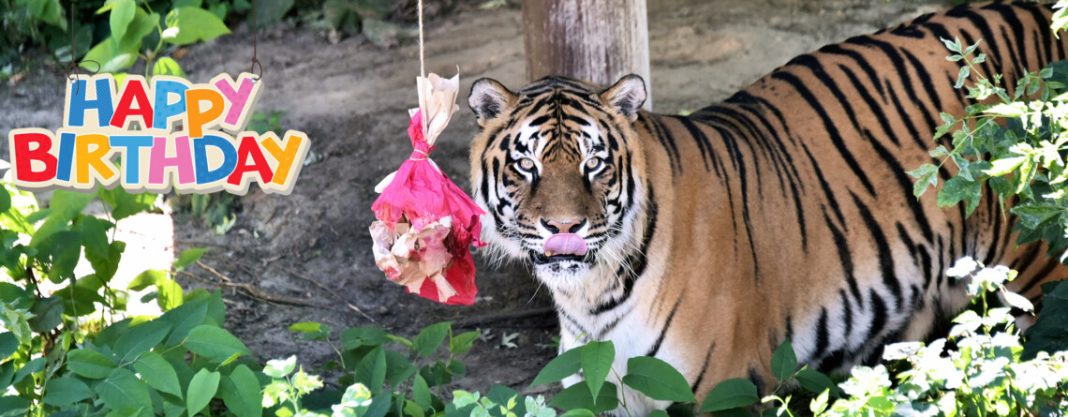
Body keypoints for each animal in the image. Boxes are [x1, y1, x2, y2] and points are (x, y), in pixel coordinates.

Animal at [466, 1, 1068, 415]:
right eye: (527, 164)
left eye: (594, 163)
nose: (564, 227)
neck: (593, 293)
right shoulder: (600, 390)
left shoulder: (722, 390)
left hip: (1036, 276)